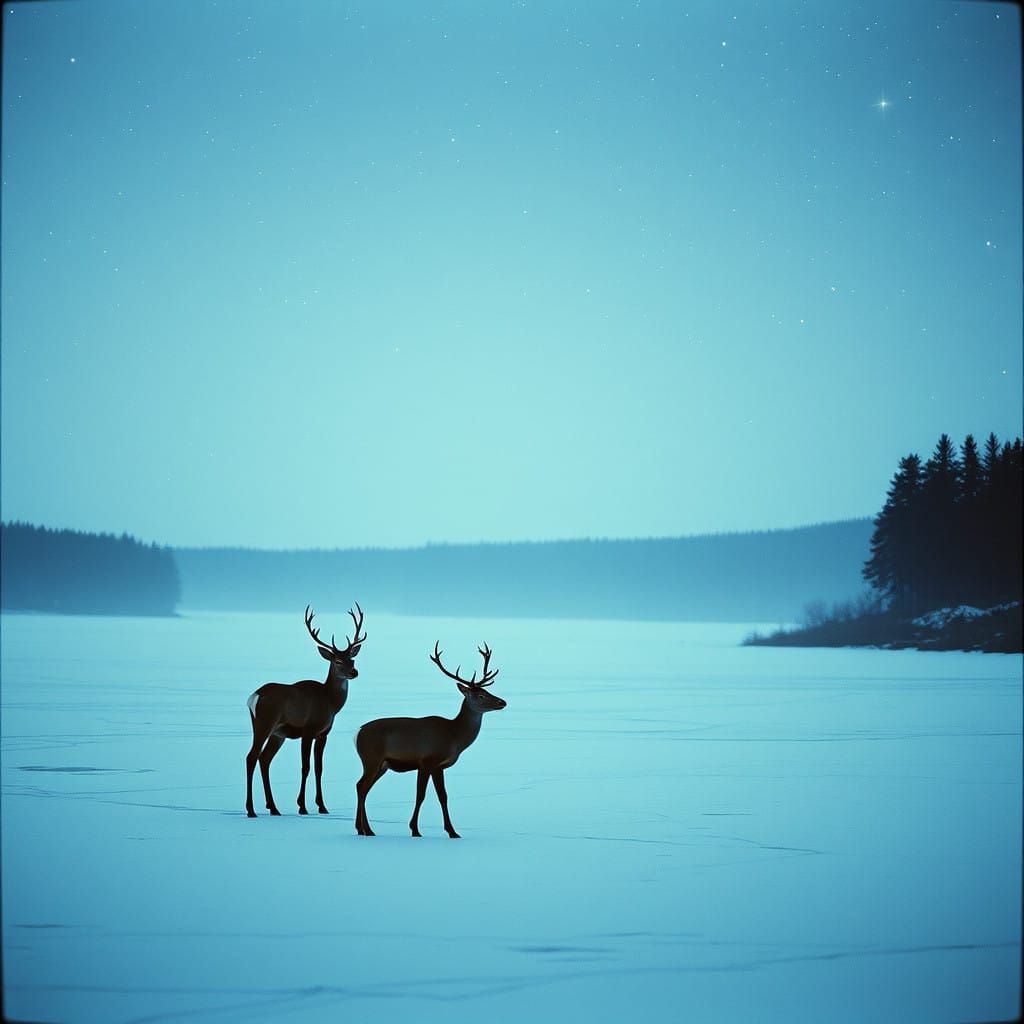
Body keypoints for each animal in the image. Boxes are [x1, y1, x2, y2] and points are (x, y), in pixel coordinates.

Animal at [245, 603, 366, 818]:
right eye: (337, 661)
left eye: (352, 660)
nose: (354, 672)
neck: (330, 702)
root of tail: (254, 697)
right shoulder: (308, 730)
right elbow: (305, 767)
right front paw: (302, 806)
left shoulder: (323, 733)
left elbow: (319, 768)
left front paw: (322, 806)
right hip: (264, 723)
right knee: (251, 757)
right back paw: (251, 810)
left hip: (277, 733)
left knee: (264, 759)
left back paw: (273, 807)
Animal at [354, 641, 506, 838]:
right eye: (481, 696)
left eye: (487, 690)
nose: (502, 702)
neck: (454, 737)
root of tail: (357, 733)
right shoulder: (427, 761)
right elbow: (421, 795)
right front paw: (415, 829)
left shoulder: (439, 766)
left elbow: (443, 796)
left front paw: (452, 831)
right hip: (371, 759)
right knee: (362, 787)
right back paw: (364, 829)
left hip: (382, 765)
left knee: (361, 787)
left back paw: (364, 829)